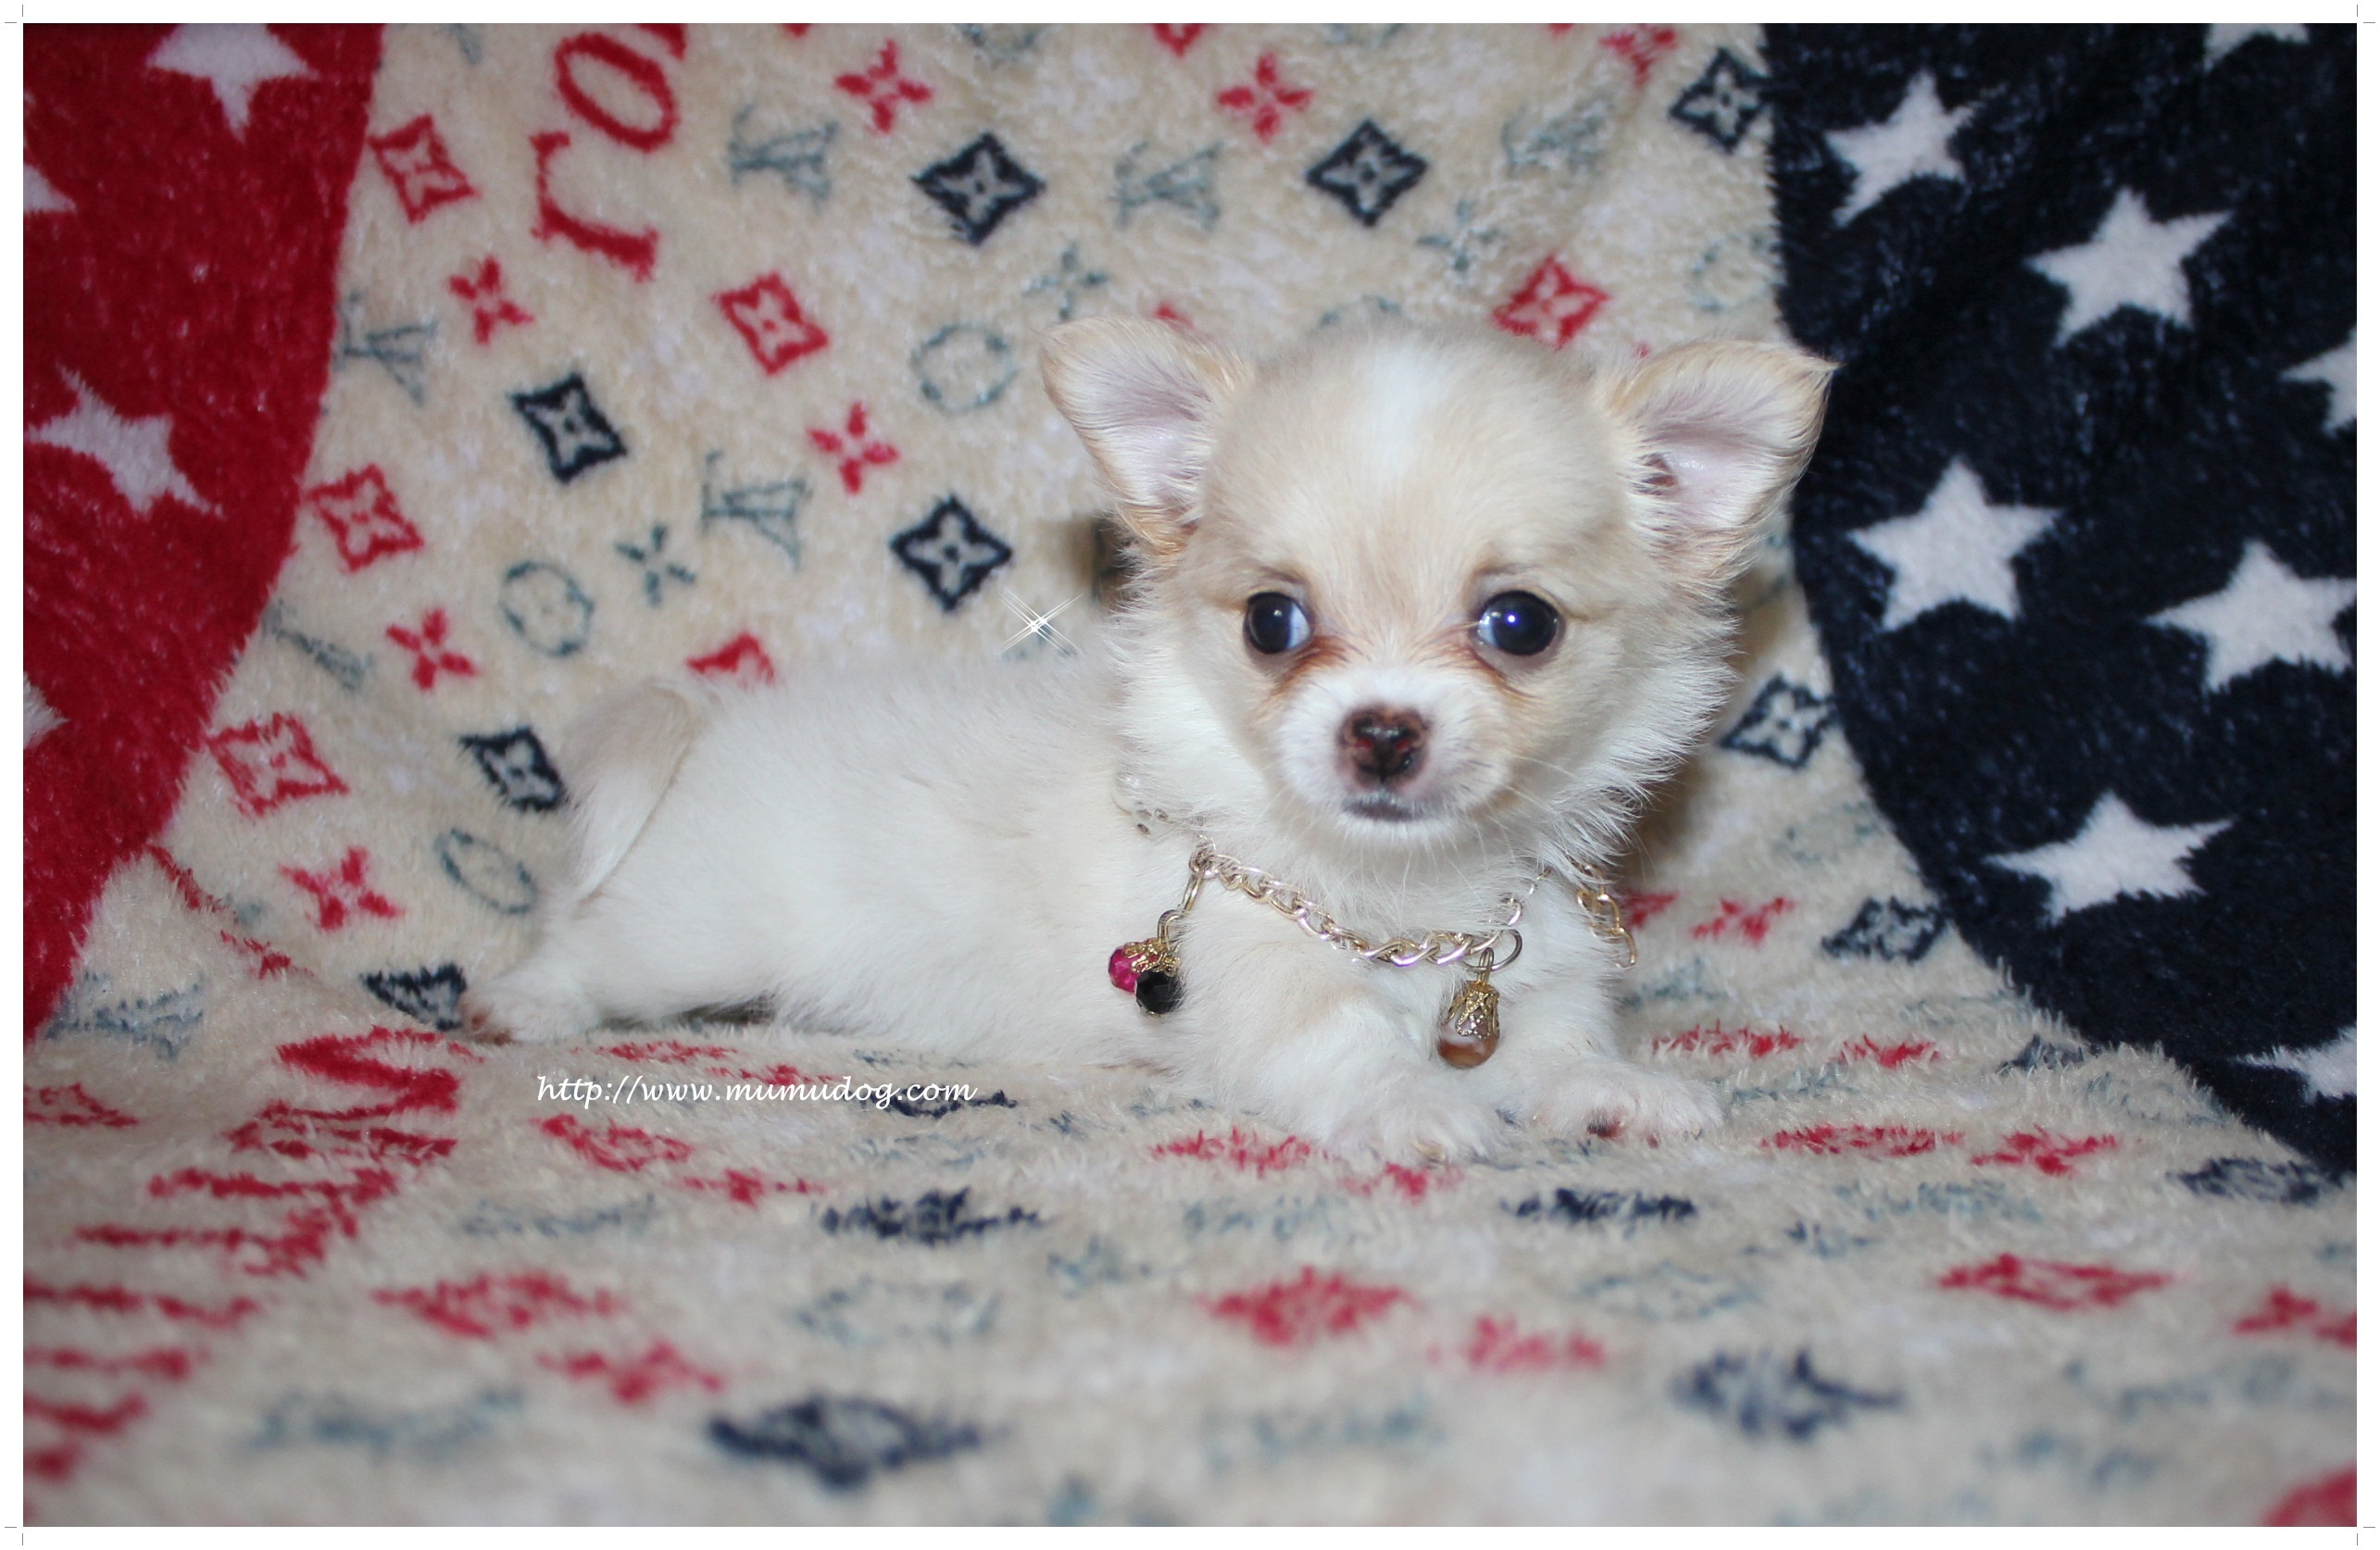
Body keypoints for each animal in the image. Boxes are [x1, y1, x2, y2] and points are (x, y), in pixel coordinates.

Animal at [463, 316, 1831, 1161]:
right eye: (1274, 622)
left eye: (1519, 624)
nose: (1380, 732)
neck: (1396, 898)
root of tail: (711, 731)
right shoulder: (1263, 989)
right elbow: (1344, 1046)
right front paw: (1409, 1107)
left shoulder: (1531, 971)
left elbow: (1550, 1047)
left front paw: (1613, 1090)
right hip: (690, 927)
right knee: (586, 941)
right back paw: (520, 1003)